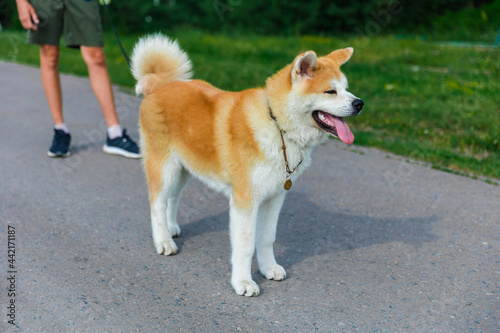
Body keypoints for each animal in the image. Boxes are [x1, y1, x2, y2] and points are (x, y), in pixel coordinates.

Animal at [129, 34, 364, 296]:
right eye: (330, 91)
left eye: (346, 88)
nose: (360, 103)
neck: (277, 125)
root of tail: (160, 84)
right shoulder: (245, 201)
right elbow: (245, 244)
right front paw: (242, 282)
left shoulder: (274, 197)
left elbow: (266, 238)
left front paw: (268, 268)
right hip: (165, 167)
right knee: (157, 203)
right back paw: (163, 240)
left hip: (185, 169)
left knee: (173, 198)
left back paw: (171, 229)